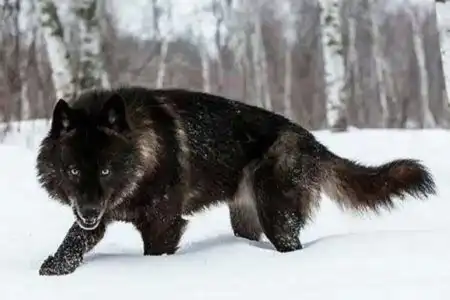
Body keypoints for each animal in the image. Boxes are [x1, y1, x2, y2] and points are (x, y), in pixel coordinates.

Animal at [36, 85, 436, 276]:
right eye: (73, 171)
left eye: (106, 170)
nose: (89, 211)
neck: (144, 152)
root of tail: (311, 140)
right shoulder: (96, 217)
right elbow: (73, 241)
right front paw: (53, 270)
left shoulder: (163, 225)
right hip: (245, 219)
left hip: (277, 219)